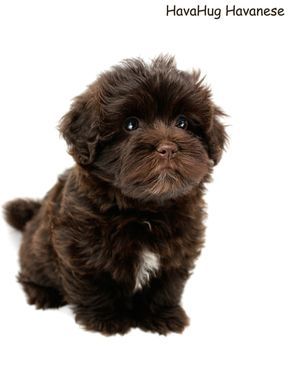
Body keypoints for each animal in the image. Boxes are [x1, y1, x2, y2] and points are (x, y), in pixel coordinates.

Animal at [3, 56, 227, 338]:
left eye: (183, 123)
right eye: (130, 124)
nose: (167, 148)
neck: (145, 210)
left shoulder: (178, 249)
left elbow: (166, 285)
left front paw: (161, 315)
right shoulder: (81, 249)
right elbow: (95, 283)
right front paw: (106, 319)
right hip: (36, 252)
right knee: (30, 272)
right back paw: (42, 294)